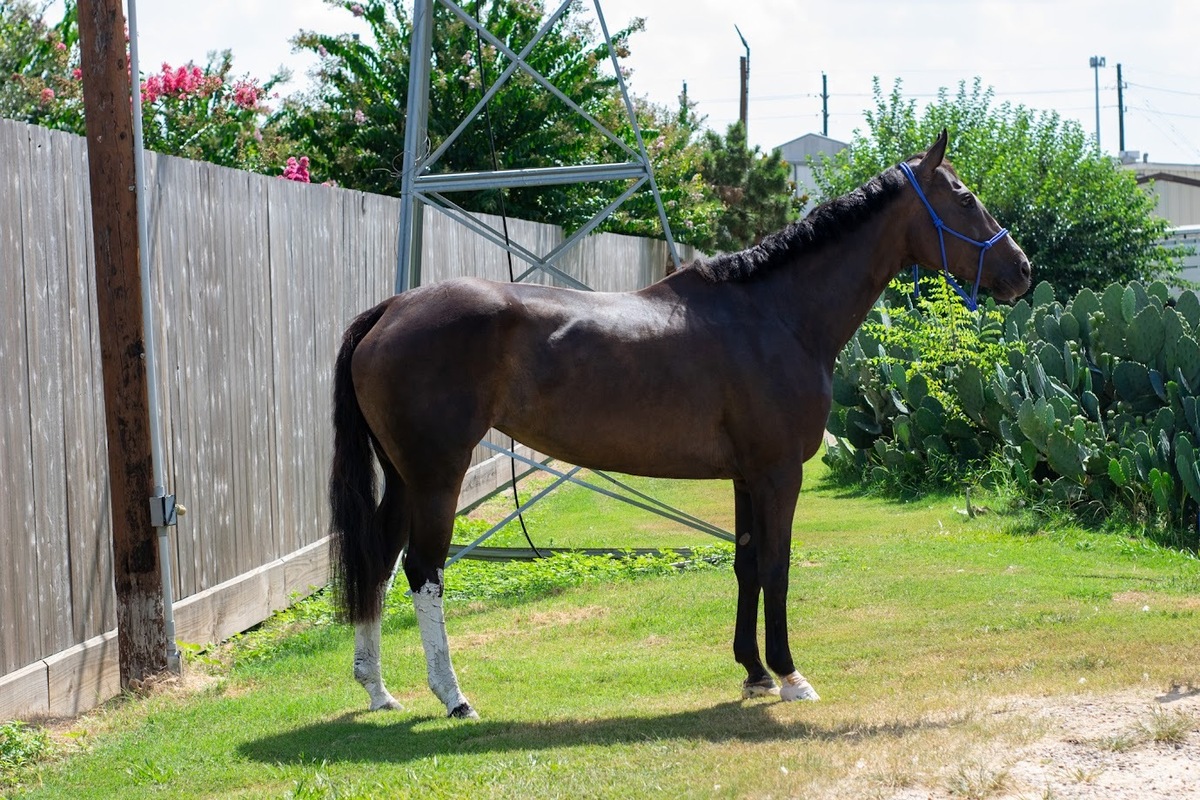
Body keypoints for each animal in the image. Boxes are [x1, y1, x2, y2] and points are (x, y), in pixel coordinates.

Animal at [328, 130, 1032, 719]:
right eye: (965, 197)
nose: (1022, 271)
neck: (775, 315)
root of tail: (393, 307)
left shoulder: (748, 477)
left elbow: (747, 566)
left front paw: (754, 673)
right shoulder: (780, 475)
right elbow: (777, 567)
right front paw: (790, 675)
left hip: (405, 478)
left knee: (380, 559)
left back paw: (378, 690)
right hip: (437, 477)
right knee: (423, 570)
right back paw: (453, 697)